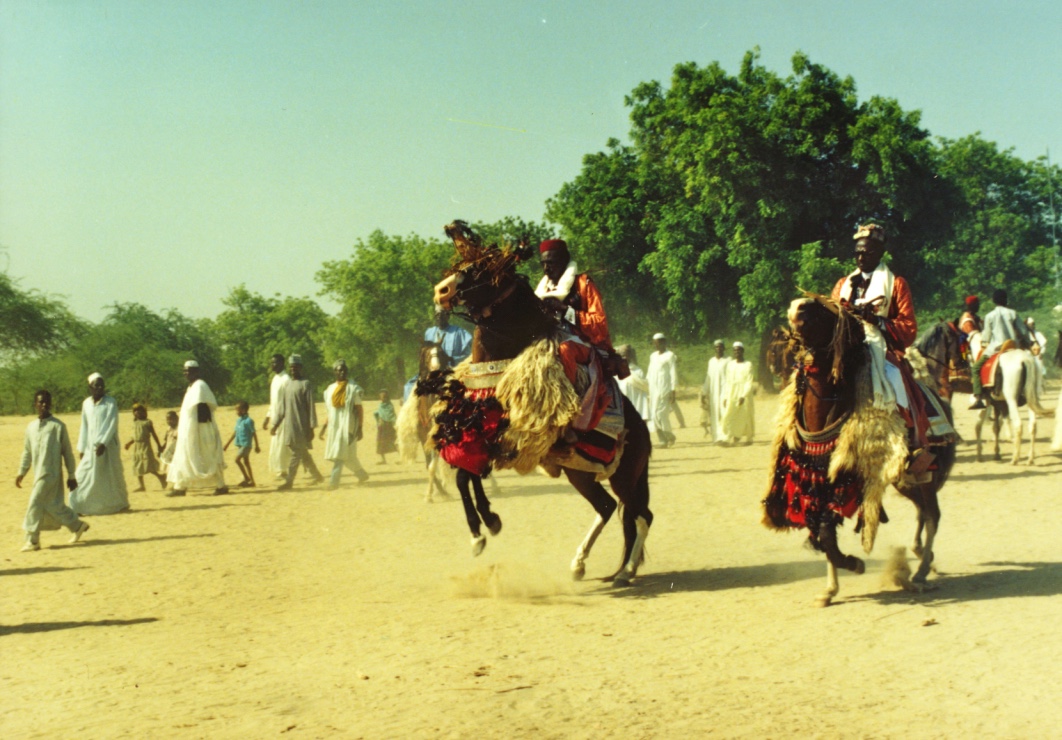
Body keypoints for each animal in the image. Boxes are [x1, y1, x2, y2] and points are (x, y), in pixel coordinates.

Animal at [426, 219, 649, 581]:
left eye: (480, 268)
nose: (441, 291)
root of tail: (644, 432)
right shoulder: (474, 431)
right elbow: (463, 476)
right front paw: (484, 528)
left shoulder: (499, 435)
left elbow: (466, 476)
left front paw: (487, 525)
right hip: (580, 473)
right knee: (608, 508)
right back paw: (582, 565)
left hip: (625, 475)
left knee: (640, 515)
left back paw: (624, 570)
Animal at [768, 295, 960, 607]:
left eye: (823, 312)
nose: (797, 306)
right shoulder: (816, 482)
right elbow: (825, 537)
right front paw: (830, 589)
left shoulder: (844, 481)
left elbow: (826, 535)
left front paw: (854, 564)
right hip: (905, 479)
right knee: (923, 510)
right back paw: (923, 556)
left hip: (925, 475)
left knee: (933, 515)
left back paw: (919, 573)